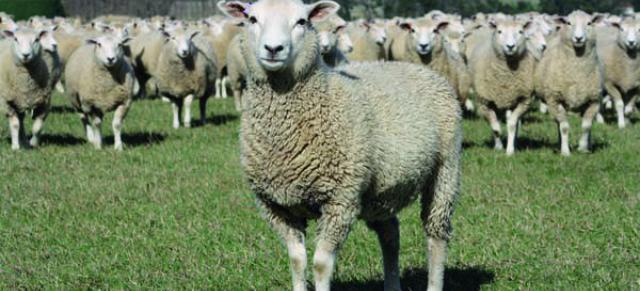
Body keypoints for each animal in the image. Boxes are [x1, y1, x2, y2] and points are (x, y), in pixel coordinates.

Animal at [219, 1, 460, 290]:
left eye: (302, 21)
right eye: (252, 19)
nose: (274, 49)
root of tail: (422, 70)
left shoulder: (340, 200)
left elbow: (321, 264)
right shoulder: (276, 206)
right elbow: (296, 260)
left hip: (445, 170)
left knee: (436, 235)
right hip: (380, 192)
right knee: (390, 233)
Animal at [468, 17, 536, 157]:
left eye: (520, 31)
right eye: (499, 31)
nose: (510, 46)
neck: (506, 76)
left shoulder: (524, 100)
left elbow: (512, 125)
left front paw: (510, 150)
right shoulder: (484, 102)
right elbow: (496, 128)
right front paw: (498, 147)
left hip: (510, 102)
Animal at [536, 10, 604, 157]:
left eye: (589, 23)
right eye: (568, 23)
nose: (578, 38)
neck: (577, 72)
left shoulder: (594, 100)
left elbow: (587, 126)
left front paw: (583, 148)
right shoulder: (555, 100)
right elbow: (564, 127)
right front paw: (565, 152)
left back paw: (589, 145)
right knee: (558, 123)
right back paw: (560, 143)